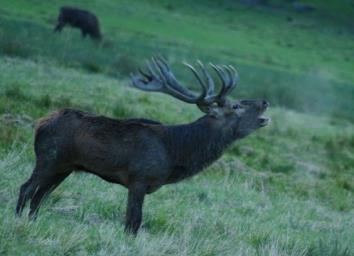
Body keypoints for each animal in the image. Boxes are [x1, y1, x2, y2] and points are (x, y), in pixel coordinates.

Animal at [15, 57, 268, 234]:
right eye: (236, 106)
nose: (265, 102)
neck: (175, 152)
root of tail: (40, 123)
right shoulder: (139, 179)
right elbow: (133, 223)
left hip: (65, 167)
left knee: (39, 196)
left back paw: (32, 222)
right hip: (48, 157)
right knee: (26, 188)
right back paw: (17, 220)